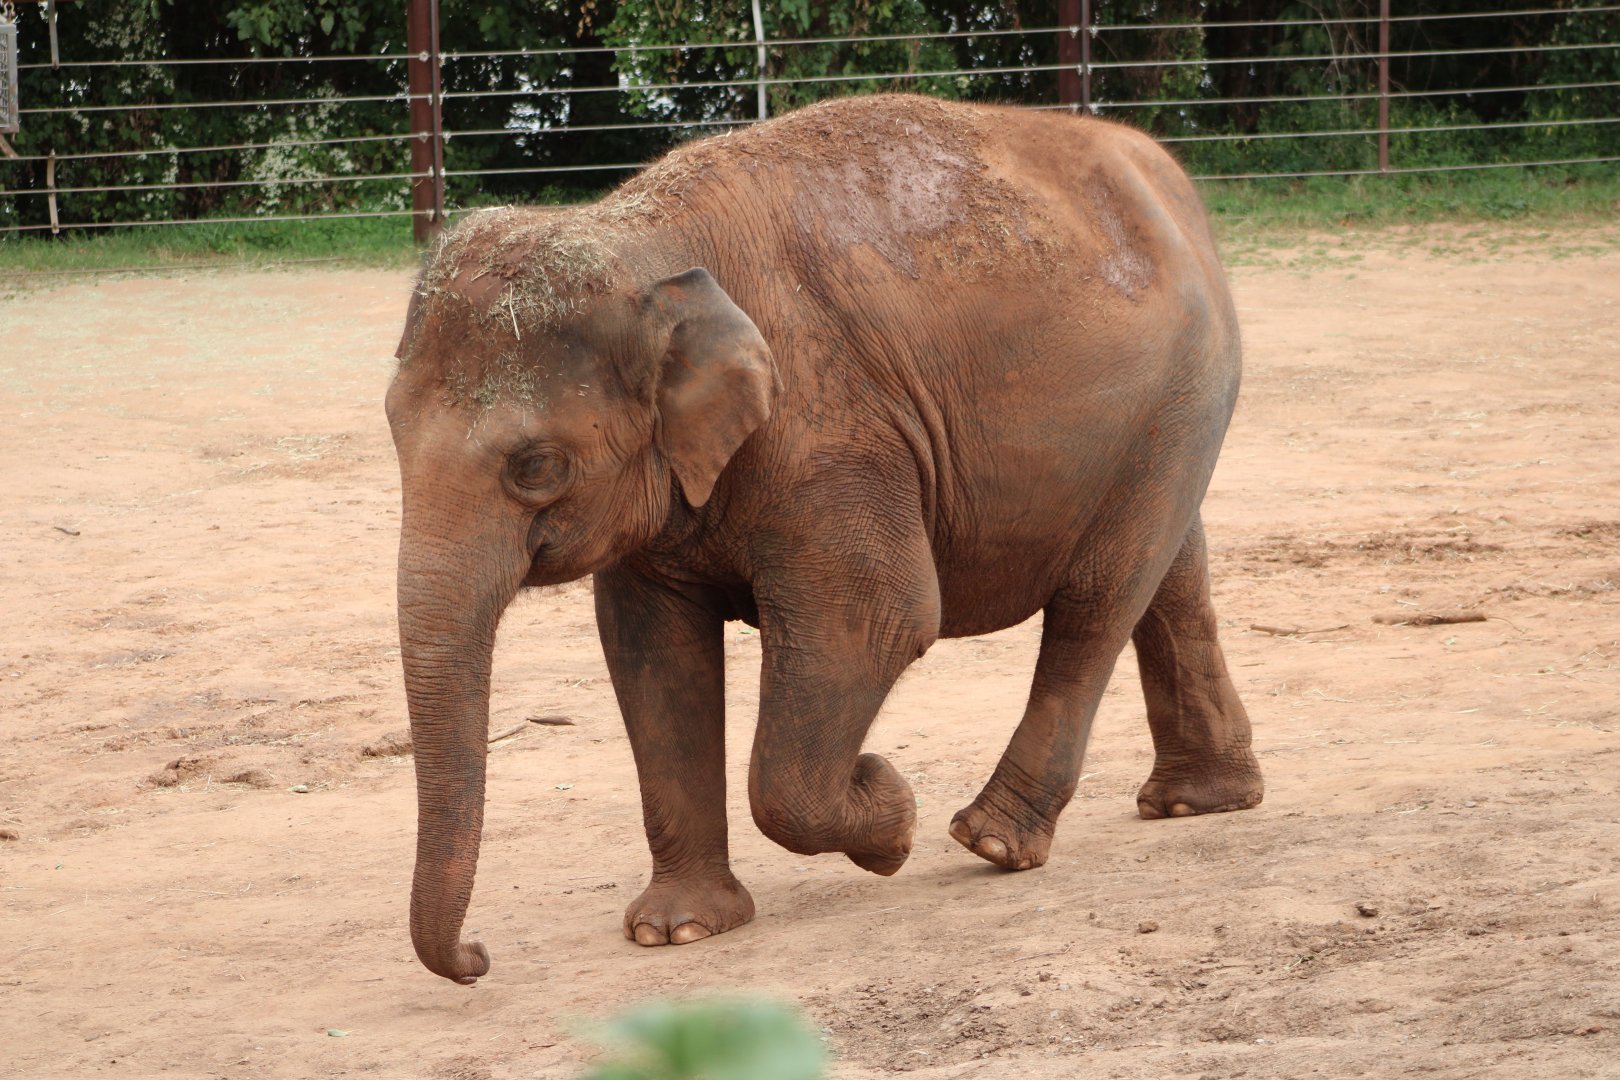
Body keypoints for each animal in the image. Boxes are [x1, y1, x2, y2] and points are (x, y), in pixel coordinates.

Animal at [386, 94, 1262, 986]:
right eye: (391, 431)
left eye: (535, 467)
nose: (478, 957)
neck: (643, 241)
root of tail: (1170, 181)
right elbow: (652, 652)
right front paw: (679, 930)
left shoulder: (829, 432)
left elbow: (878, 621)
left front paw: (889, 809)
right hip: (1169, 411)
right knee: (1171, 576)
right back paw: (1198, 801)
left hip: (1184, 389)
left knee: (1098, 600)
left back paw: (991, 839)